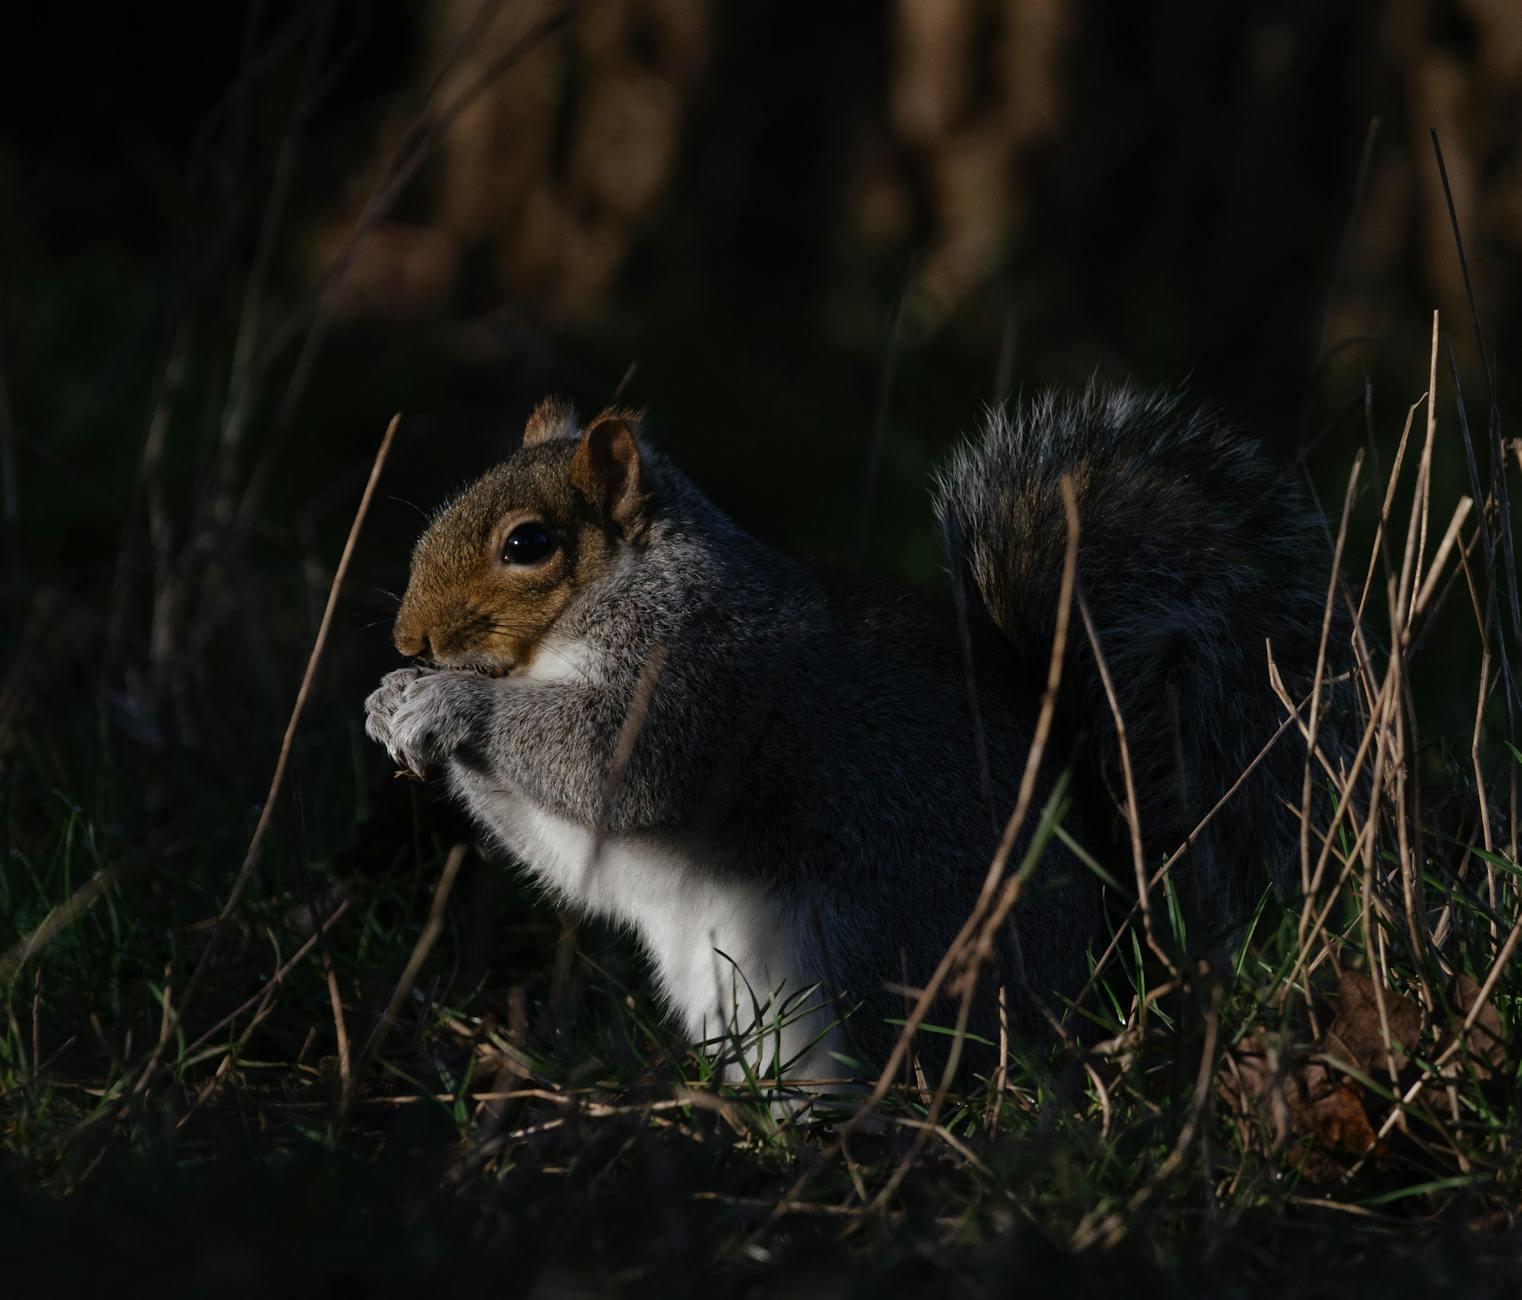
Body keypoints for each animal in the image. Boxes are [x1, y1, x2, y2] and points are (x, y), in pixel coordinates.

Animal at [368, 389, 1345, 1089]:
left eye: (527, 544)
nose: (409, 640)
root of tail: (1093, 986)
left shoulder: (699, 677)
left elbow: (613, 763)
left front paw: (450, 702)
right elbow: (575, 853)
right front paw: (392, 703)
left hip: (875, 961)